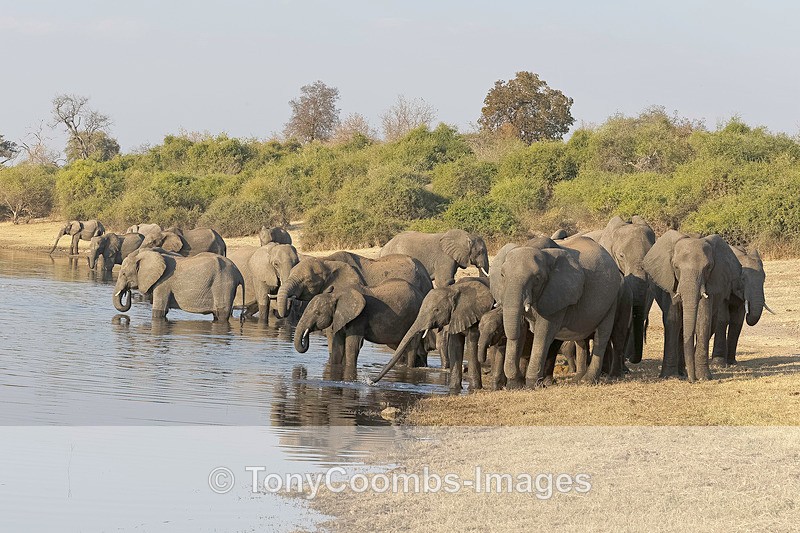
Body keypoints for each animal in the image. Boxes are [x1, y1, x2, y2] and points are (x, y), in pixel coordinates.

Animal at [112, 249, 244, 321]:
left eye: (123, 273)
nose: (128, 291)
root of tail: (238, 273)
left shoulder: (163, 283)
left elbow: (159, 311)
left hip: (223, 284)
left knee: (221, 314)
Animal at [294, 280, 426, 379]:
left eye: (317, 313)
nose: (302, 374)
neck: (337, 295)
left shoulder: (359, 318)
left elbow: (352, 346)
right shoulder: (340, 317)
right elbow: (338, 347)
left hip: (415, 316)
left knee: (411, 347)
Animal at [500, 236, 624, 388]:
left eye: (537, 278)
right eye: (502, 275)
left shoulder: (557, 295)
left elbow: (543, 333)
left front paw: (532, 384)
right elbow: (521, 328)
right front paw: (515, 385)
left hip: (612, 299)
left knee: (602, 336)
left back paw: (587, 381)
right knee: (580, 339)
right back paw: (577, 380)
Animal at [643, 231, 742, 381]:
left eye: (708, 267)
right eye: (676, 267)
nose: (692, 380)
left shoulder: (710, 282)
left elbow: (703, 320)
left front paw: (703, 377)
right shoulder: (671, 282)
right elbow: (673, 319)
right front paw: (669, 376)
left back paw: (684, 372)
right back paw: (681, 372)